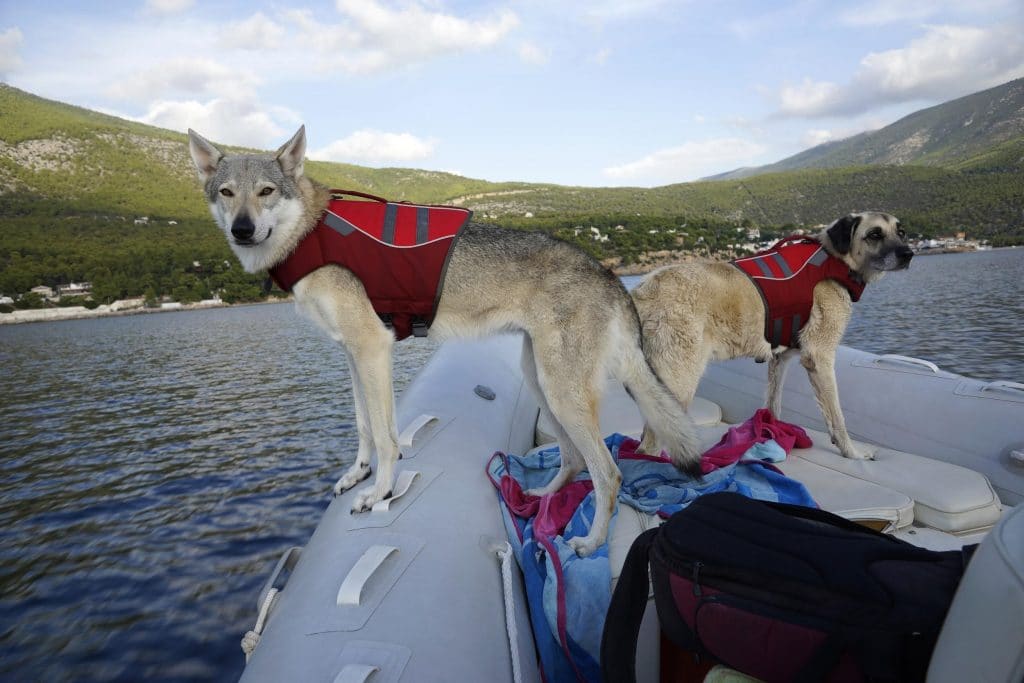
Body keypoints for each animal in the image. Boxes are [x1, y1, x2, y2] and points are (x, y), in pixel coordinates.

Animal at [188, 126, 700, 557]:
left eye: (266, 191)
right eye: (227, 193)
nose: (242, 229)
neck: (309, 233)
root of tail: (609, 274)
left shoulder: (372, 349)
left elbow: (386, 437)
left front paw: (379, 492)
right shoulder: (351, 354)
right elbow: (363, 426)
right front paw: (357, 475)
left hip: (562, 392)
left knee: (608, 473)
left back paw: (589, 543)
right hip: (542, 382)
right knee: (574, 460)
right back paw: (538, 503)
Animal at [630, 210, 913, 462]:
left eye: (901, 232)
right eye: (874, 234)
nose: (908, 254)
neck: (836, 260)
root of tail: (641, 292)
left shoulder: (780, 360)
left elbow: (773, 405)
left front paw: (771, 434)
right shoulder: (820, 357)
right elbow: (837, 416)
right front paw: (852, 453)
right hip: (679, 380)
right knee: (648, 447)